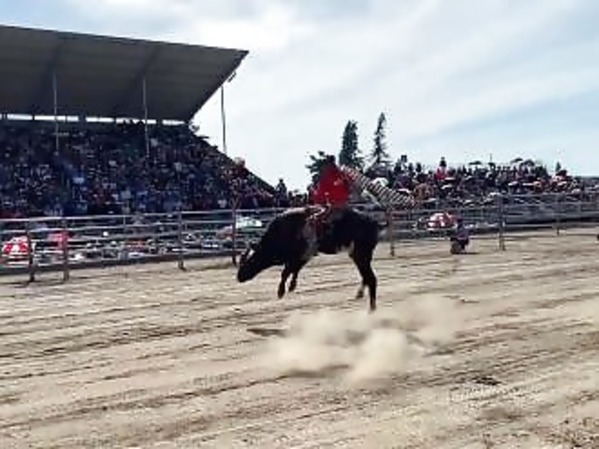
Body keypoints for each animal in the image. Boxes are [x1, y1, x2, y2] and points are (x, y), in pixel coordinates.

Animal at [236, 206, 386, 312]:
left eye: (251, 260)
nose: (239, 277)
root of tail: (375, 223)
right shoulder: (304, 255)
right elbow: (294, 270)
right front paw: (292, 285)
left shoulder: (301, 254)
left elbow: (286, 272)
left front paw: (281, 291)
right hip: (359, 255)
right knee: (366, 277)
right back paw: (361, 296)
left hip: (361, 254)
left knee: (371, 278)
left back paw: (371, 308)